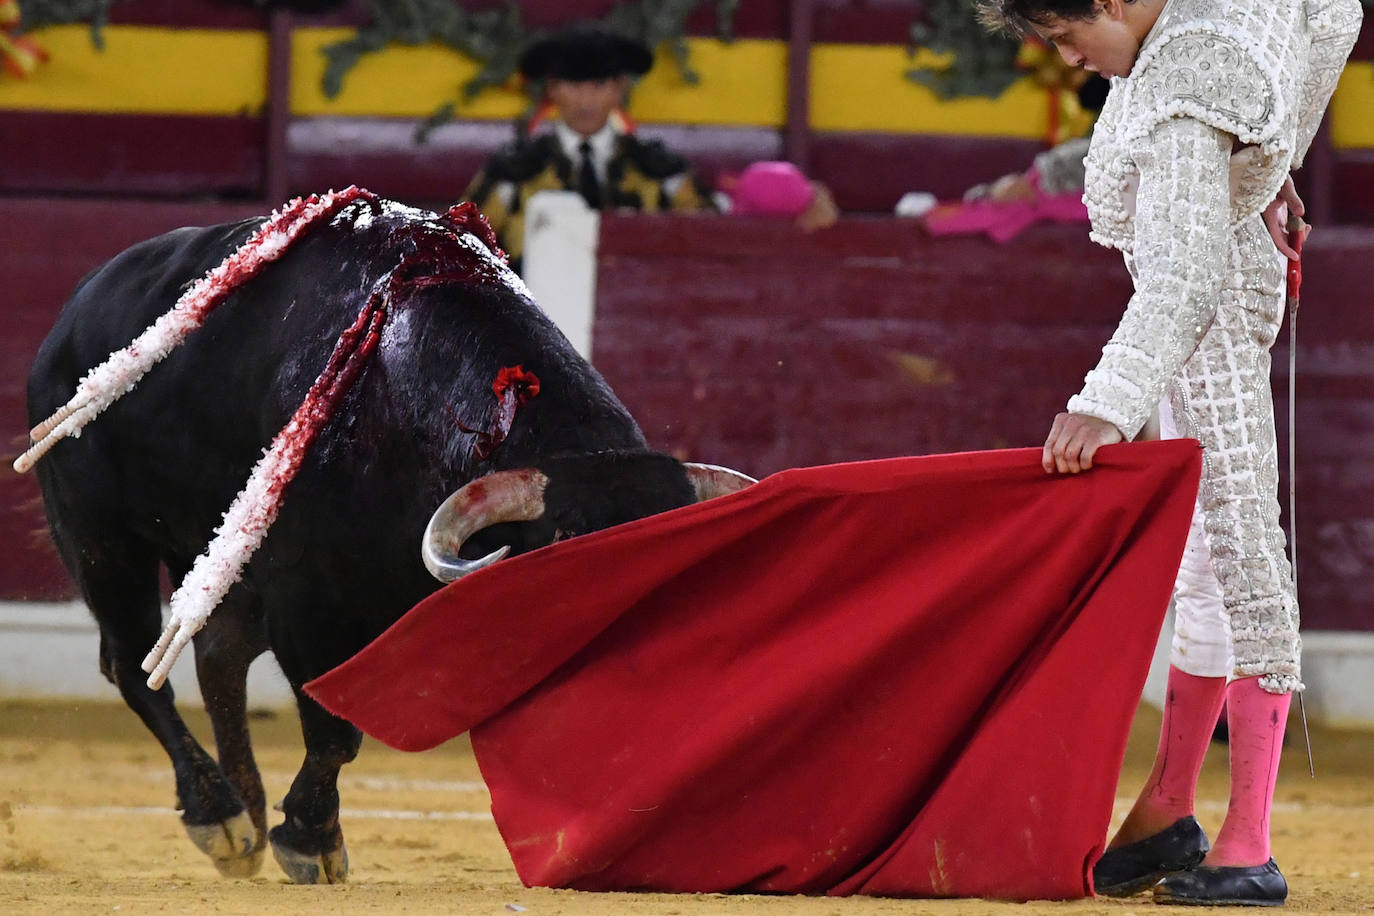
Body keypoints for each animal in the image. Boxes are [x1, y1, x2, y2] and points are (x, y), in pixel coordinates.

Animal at [24, 197, 752, 884]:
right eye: (568, 554)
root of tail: (74, 312)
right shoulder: (307, 604)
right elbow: (335, 732)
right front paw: (311, 841)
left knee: (218, 653)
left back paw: (249, 812)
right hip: (99, 538)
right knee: (133, 665)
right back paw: (220, 815)